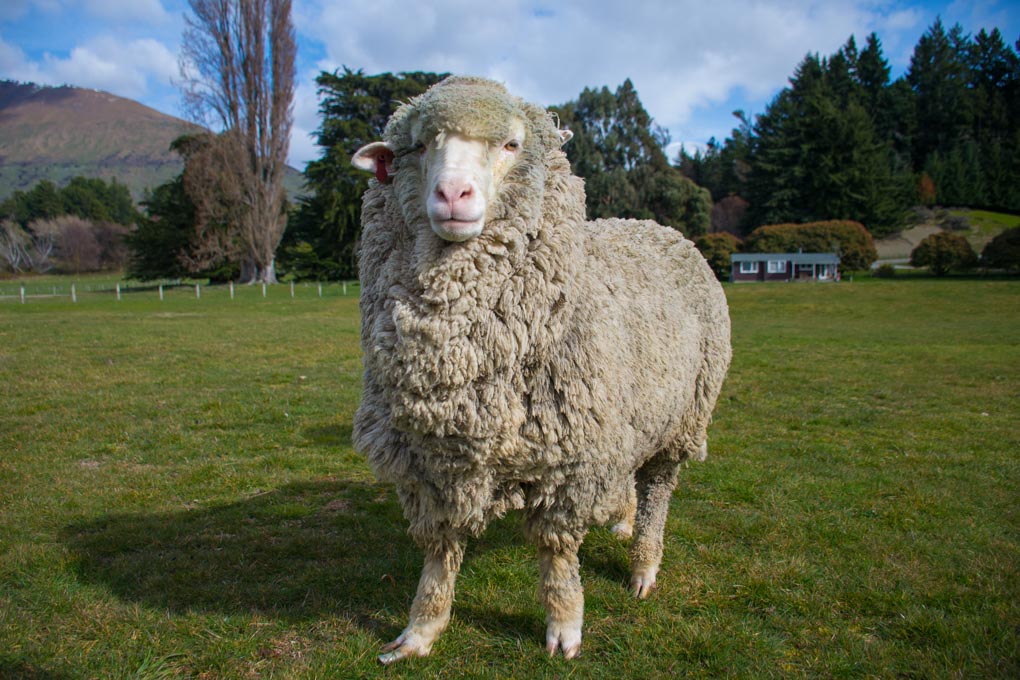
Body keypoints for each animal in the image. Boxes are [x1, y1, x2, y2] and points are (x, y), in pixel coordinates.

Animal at [350, 76, 731, 663]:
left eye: (511, 144)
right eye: (419, 145)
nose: (453, 196)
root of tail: (657, 227)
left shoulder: (570, 458)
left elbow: (556, 554)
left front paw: (564, 625)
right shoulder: (431, 465)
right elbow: (439, 555)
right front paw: (421, 630)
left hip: (686, 416)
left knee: (658, 490)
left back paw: (644, 562)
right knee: (630, 478)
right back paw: (621, 519)